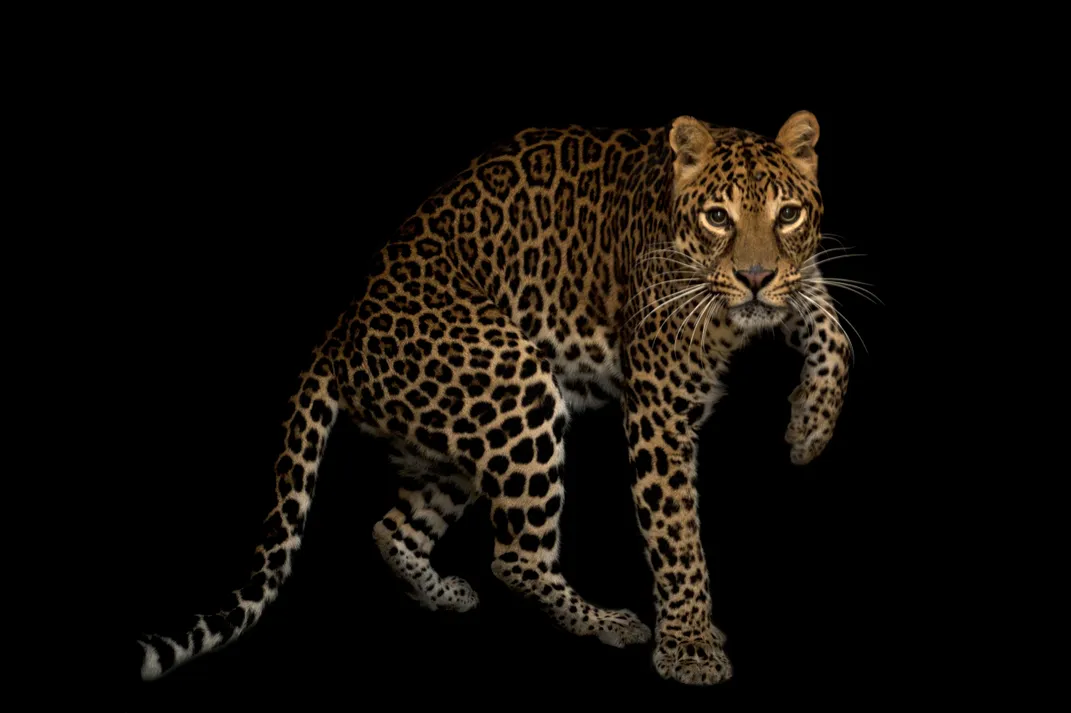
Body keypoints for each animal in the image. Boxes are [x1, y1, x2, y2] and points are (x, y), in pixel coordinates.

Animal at [136, 111, 851, 686]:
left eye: (788, 215)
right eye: (716, 217)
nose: (754, 276)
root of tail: (340, 332)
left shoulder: (792, 284)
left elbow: (829, 321)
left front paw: (808, 430)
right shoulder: (658, 409)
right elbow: (676, 536)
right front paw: (689, 647)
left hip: (458, 438)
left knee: (392, 527)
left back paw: (445, 595)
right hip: (518, 386)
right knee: (514, 557)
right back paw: (608, 622)